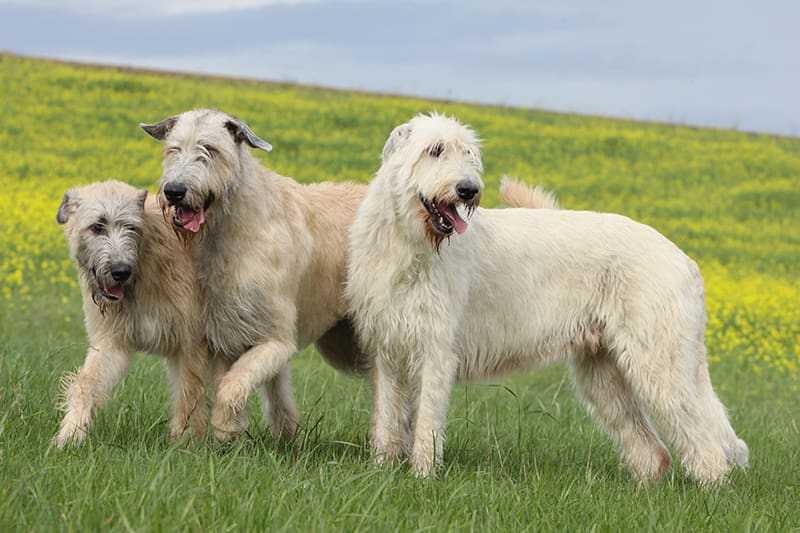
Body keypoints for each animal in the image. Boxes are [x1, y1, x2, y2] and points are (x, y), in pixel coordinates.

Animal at [54, 181, 208, 446]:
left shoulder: (192, 344)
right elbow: (88, 382)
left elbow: (189, 395)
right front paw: (72, 432)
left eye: (131, 227)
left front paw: (184, 444)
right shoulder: (112, 339)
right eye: (97, 226)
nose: (121, 271)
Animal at [346, 114, 752, 484]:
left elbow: (427, 418)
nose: (468, 189)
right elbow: (386, 416)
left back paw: (710, 490)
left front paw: (423, 477)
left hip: (658, 361)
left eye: (469, 154)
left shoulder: (436, 350)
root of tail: (686, 261)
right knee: (652, 448)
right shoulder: (387, 349)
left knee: (703, 439)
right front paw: (381, 472)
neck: (409, 243)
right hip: (603, 372)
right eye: (434, 150)